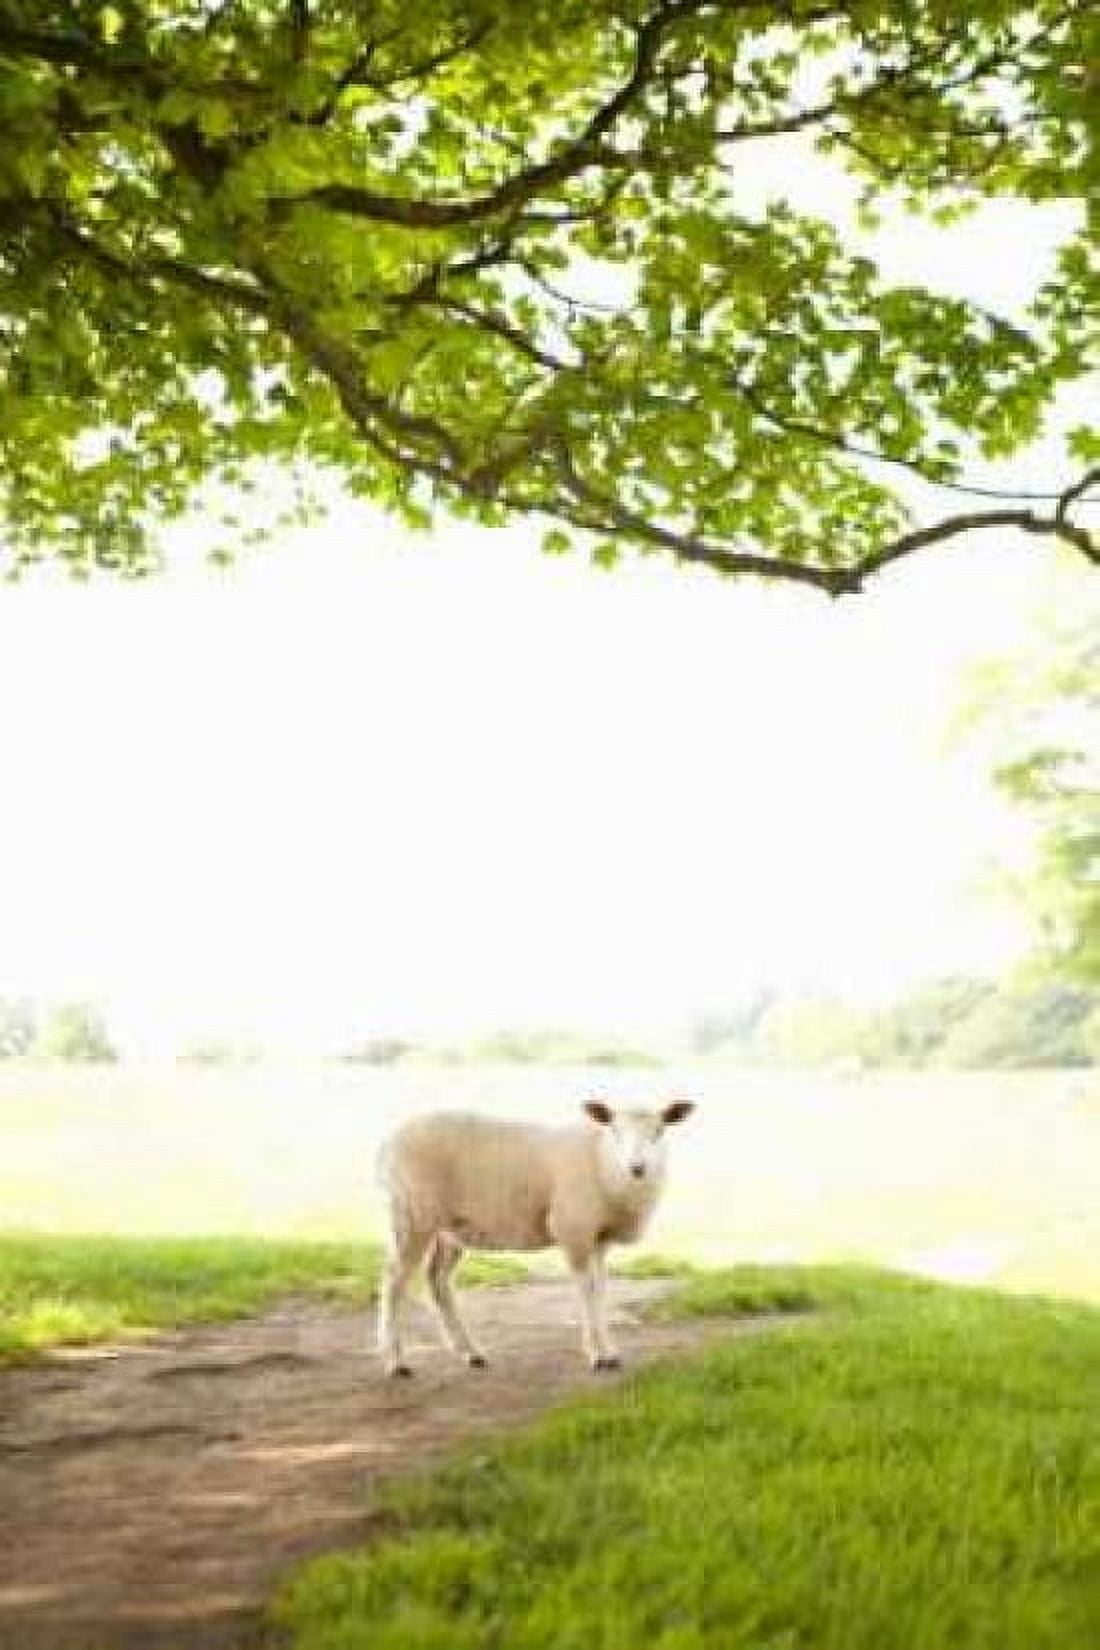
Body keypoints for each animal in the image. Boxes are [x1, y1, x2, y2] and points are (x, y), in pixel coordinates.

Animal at [374, 1098, 695, 1377]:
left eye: (660, 1131)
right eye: (614, 1131)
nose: (637, 1168)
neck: (602, 1161)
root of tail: (388, 1141)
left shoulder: (598, 1239)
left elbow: (601, 1291)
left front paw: (609, 1352)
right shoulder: (574, 1229)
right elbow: (587, 1291)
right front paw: (597, 1356)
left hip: (449, 1227)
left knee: (437, 1280)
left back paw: (470, 1352)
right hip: (412, 1214)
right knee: (394, 1283)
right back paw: (396, 1361)